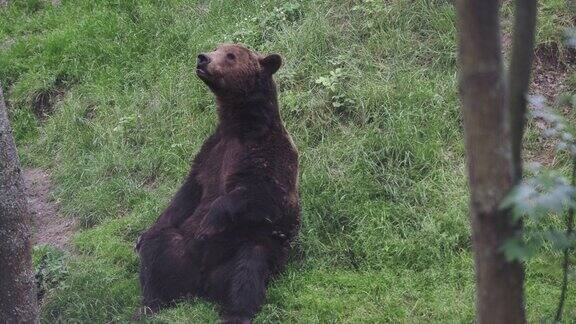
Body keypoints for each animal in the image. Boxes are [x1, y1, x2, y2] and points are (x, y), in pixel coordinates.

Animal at [133, 43, 300, 324]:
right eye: (215, 47)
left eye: (231, 55)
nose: (203, 58)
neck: (240, 125)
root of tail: (202, 286)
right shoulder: (211, 152)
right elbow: (188, 192)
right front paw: (141, 236)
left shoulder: (269, 156)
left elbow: (262, 194)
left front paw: (210, 222)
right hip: (181, 247)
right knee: (159, 250)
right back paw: (151, 303)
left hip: (247, 246)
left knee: (248, 269)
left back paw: (236, 313)